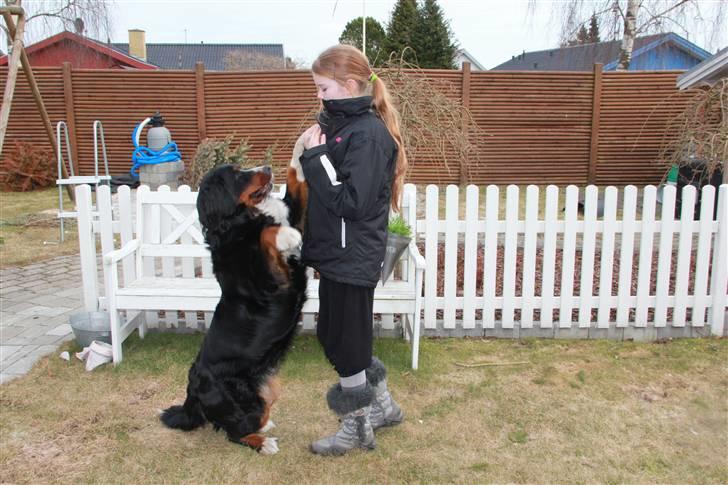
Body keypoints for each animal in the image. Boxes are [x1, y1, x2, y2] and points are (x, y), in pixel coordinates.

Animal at [159, 164, 308, 454]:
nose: (267, 167)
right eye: (238, 174)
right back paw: (263, 443)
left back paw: (264, 428)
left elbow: (296, 184)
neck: (242, 220)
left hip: (268, 390)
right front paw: (286, 235)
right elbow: (266, 235)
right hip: (240, 399)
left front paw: (301, 156)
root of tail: (192, 389)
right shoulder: (269, 280)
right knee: (233, 432)